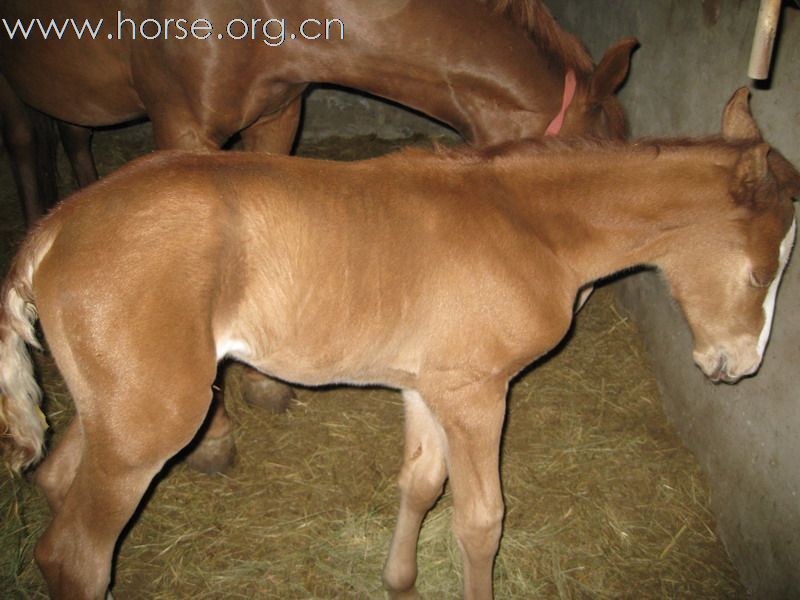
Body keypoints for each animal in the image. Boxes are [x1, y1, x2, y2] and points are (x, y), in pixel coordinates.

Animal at [0, 0, 636, 468]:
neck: (268, 13)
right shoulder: (181, 123)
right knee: (28, 148)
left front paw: (263, 384)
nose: (583, 291)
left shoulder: (277, 114)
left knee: (71, 137)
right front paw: (215, 436)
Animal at [0, 89, 796, 600]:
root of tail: (53, 230)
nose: (739, 365)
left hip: (118, 409)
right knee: (75, 557)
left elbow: (419, 483)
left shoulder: (427, 384)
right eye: (762, 272)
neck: (526, 223)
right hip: (153, 418)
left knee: (55, 482)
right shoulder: (479, 392)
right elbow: (481, 520)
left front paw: (400, 582)